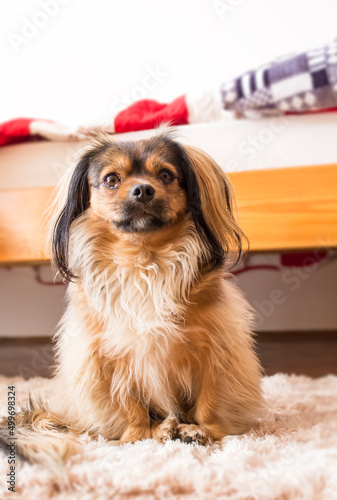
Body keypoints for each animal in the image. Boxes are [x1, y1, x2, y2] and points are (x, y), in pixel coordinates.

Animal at [0, 130, 262, 464]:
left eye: (166, 175)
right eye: (112, 179)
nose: (142, 190)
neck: (145, 261)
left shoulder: (215, 348)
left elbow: (210, 401)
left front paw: (201, 431)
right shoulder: (107, 357)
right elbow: (129, 406)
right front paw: (142, 436)